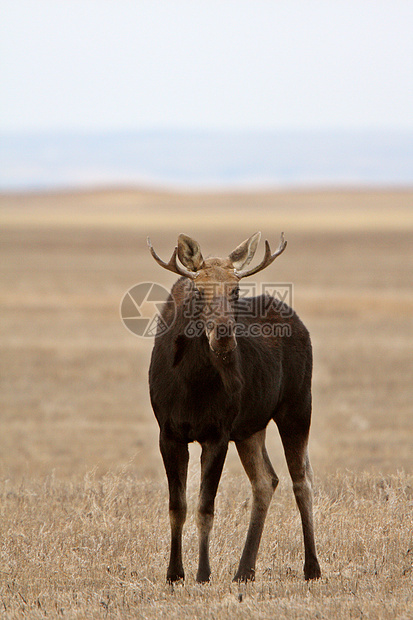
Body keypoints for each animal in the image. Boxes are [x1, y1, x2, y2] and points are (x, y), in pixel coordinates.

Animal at [146, 230, 320, 584]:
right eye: (199, 290)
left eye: (236, 289)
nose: (224, 334)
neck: (192, 383)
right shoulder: (169, 434)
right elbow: (177, 507)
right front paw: (174, 573)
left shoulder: (218, 433)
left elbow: (205, 508)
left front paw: (203, 573)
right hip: (250, 427)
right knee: (266, 481)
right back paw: (245, 570)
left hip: (297, 407)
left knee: (302, 479)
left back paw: (312, 567)